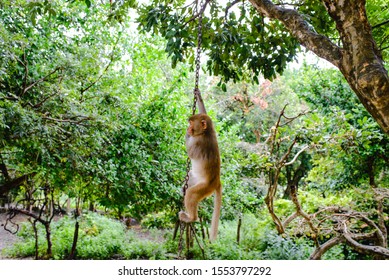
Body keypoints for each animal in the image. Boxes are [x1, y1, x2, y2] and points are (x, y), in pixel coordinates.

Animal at [179, 112, 221, 241]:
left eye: (191, 123)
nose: (189, 127)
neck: (205, 133)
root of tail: (217, 181)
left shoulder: (198, 142)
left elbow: (190, 153)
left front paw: (187, 134)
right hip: (197, 180)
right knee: (190, 176)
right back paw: (184, 188)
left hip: (205, 187)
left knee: (191, 194)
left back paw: (191, 218)